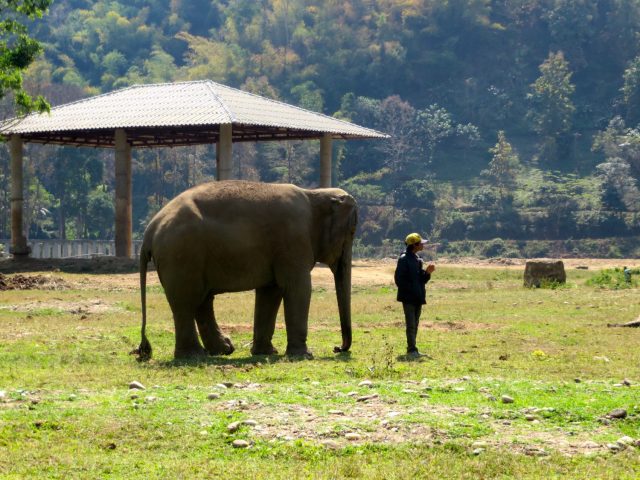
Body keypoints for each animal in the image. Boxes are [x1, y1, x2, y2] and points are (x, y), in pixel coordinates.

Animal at [134, 180, 358, 360]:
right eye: (350, 234)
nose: (337, 348)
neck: (314, 194)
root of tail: (150, 231)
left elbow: (271, 291)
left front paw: (267, 353)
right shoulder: (294, 241)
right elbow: (298, 288)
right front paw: (304, 356)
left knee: (201, 300)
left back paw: (222, 350)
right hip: (181, 255)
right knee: (187, 302)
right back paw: (195, 356)